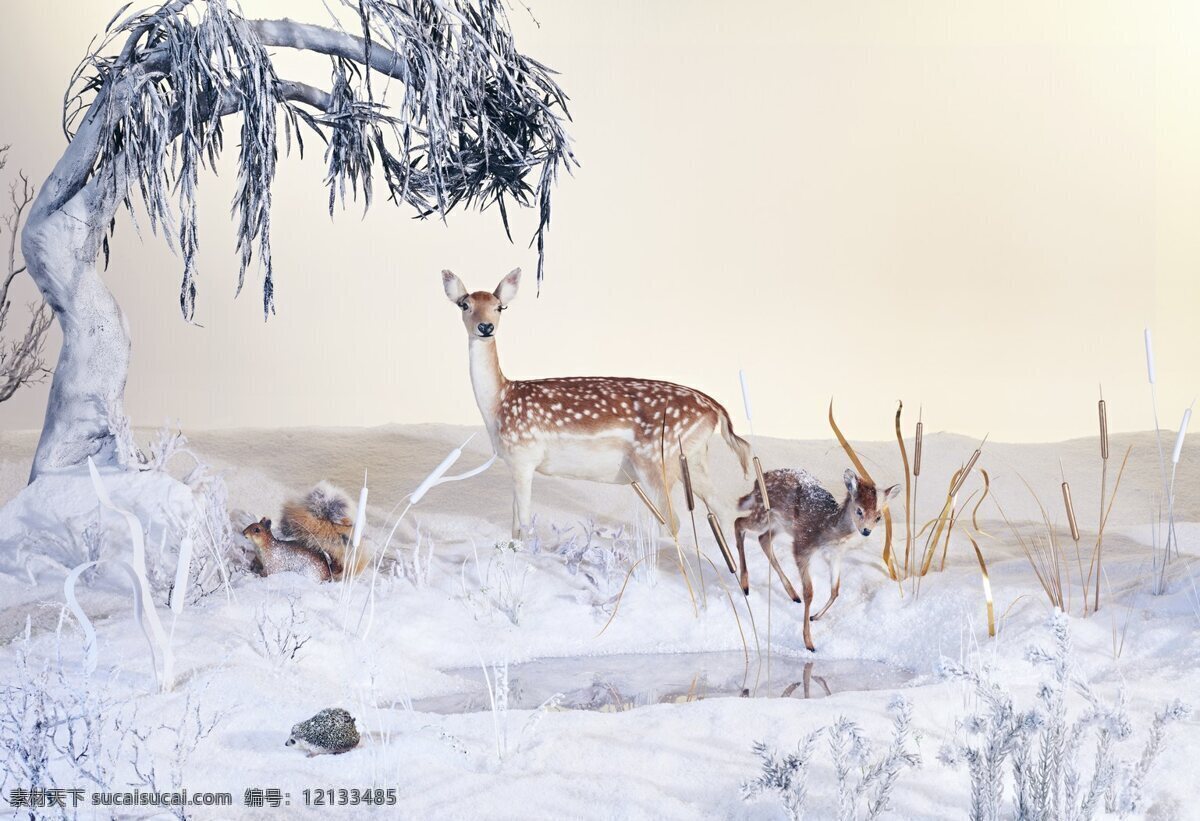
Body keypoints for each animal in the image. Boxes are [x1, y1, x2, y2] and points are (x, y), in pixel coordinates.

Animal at [446, 268, 753, 537]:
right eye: (465, 304)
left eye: (500, 307)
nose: (485, 327)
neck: (499, 402)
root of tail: (716, 409)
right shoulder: (514, 462)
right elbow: (513, 524)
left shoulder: (524, 456)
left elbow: (523, 522)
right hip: (695, 457)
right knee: (724, 509)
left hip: (657, 459)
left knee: (673, 522)